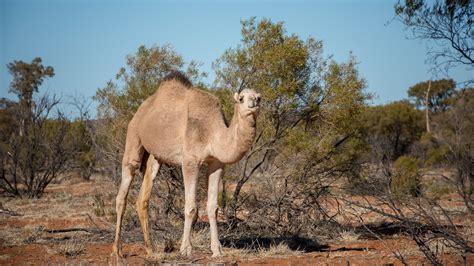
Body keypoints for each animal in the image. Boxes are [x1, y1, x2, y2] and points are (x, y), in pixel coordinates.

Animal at [110, 70, 260, 258]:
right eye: (241, 98)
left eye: (259, 96)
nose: (254, 102)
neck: (212, 132)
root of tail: (141, 109)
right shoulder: (190, 161)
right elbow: (190, 207)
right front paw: (186, 249)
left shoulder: (216, 163)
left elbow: (213, 207)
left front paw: (217, 249)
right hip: (133, 137)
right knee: (123, 192)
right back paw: (117, 251)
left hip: (155, 157)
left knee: (142, 198)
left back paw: (151, 250)